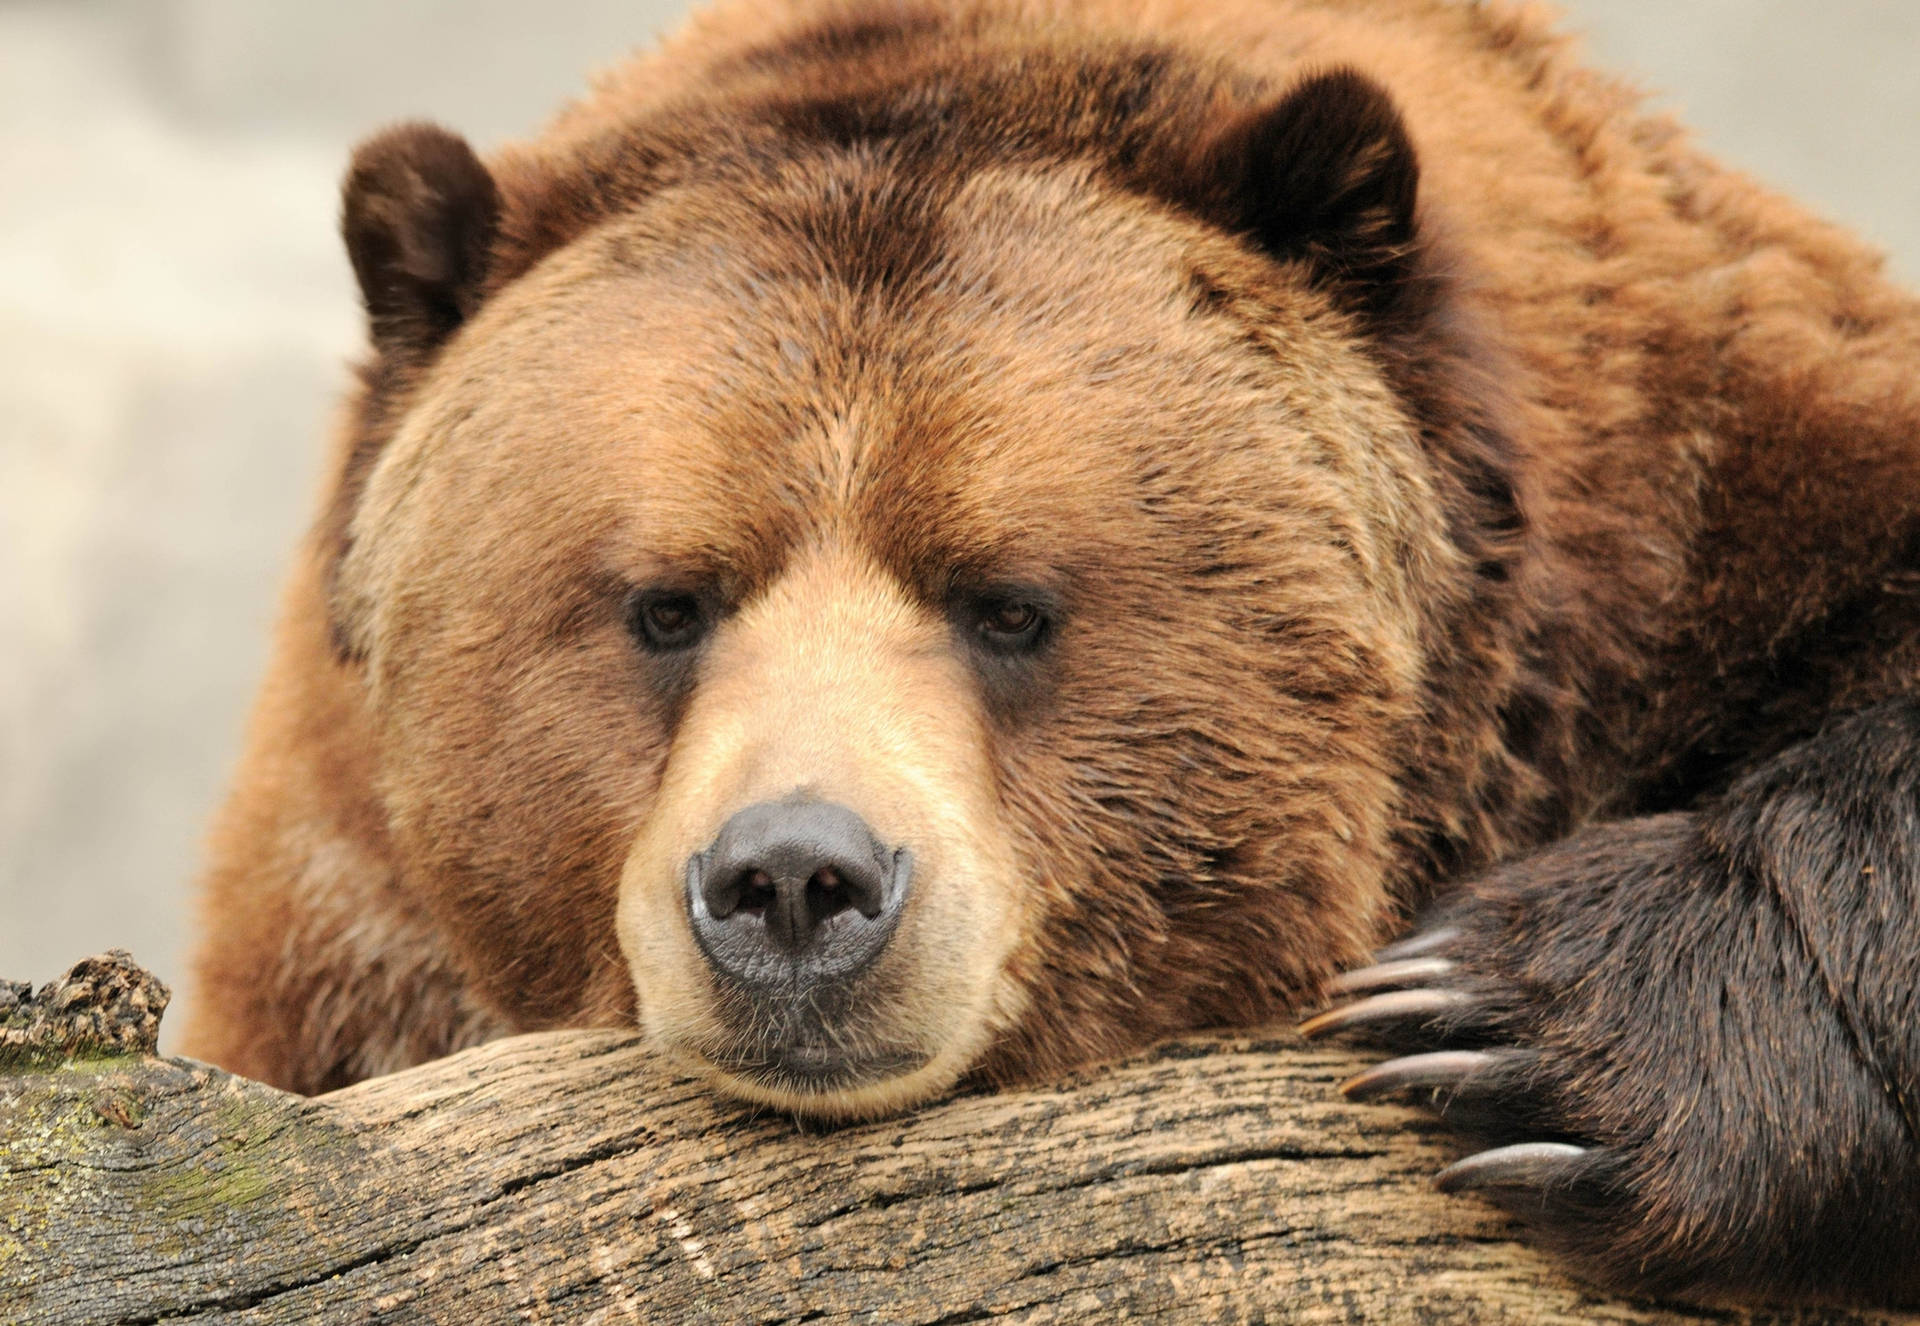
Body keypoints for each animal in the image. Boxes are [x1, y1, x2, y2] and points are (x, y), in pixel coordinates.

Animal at [187, 0, 1920, 1304]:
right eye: (668, 601)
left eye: (1006, 601)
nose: (795, 881)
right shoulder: (334, 942)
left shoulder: (1701, 500)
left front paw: (1512, 1034)